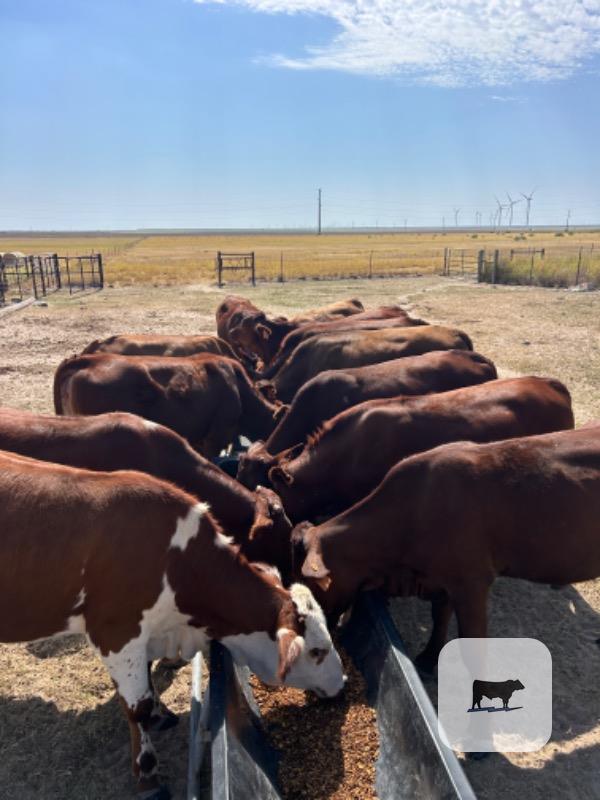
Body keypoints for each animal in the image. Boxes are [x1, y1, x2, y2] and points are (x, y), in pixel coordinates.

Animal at [0, 450, 345, 798]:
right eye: (316, 651)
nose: (342, 682)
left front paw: (158, 714)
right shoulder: (115, 631)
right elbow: (136, 706)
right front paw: (148, 774)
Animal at [291, 425, 600, 675]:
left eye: (309, 586)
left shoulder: (472, 581)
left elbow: (473, 650)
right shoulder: (441, 579)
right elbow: (439, 619)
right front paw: (428, 660)